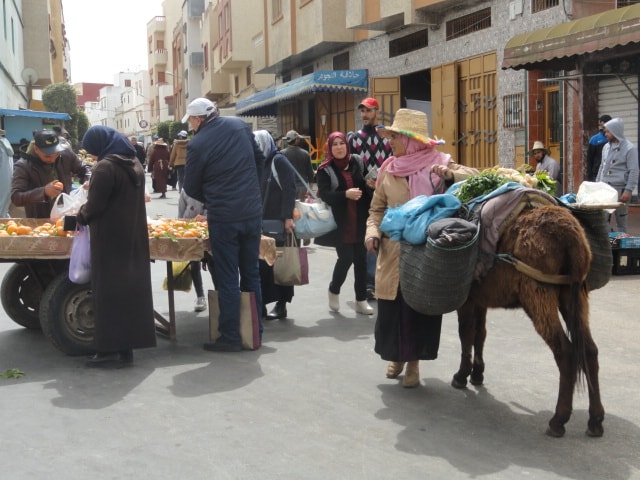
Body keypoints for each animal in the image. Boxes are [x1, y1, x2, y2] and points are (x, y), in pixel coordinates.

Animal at [450, 205, 605, 438]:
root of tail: (568, 232)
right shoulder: (480, 299)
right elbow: (480, 335)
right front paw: (477, 373)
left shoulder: (467, 300)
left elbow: (466, 334)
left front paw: (461, 375)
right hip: (573, 294)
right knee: (589, 350)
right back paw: (595, 421)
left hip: (538, 293)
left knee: (565, 352)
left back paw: (558, 420)